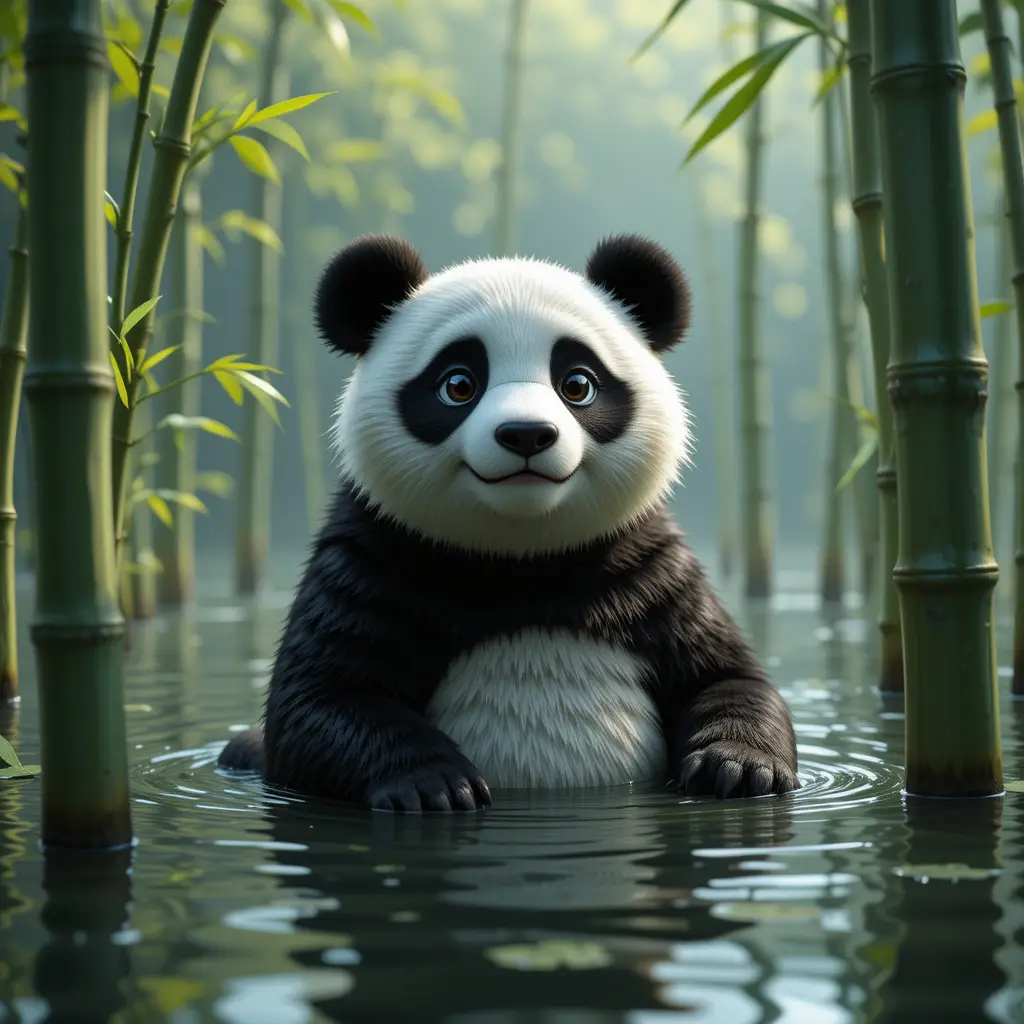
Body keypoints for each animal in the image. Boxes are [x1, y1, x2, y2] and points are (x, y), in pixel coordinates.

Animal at [218, 232, 800, 812]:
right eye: (458, 384)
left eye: (578, 384)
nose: (526, 434)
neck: (522, 560)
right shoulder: (373, 559)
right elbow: (320, 701)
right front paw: (433, 784)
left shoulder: (650, 571)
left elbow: (727, 677)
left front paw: (738, 766)